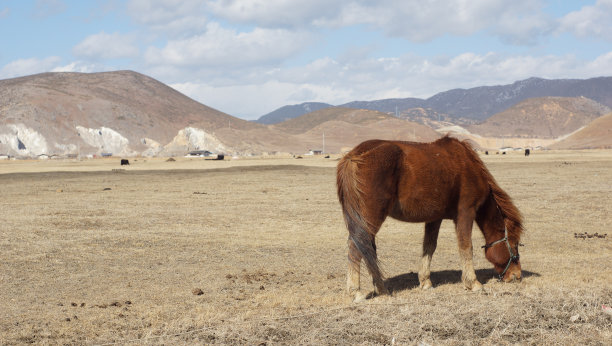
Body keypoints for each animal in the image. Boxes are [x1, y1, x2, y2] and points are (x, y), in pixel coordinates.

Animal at [338, 135, 524, 300]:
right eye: (514, 245)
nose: (516, 276)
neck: (467, 165)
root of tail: (353, 156)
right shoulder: (466, 213)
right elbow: (466, 247)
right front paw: (473, 283)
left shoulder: (435, 218)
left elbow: (429, 246)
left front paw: (425, 281)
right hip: (371, 218)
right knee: (356, 246)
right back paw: (356, 292)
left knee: (367, 248)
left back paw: (381, 288)